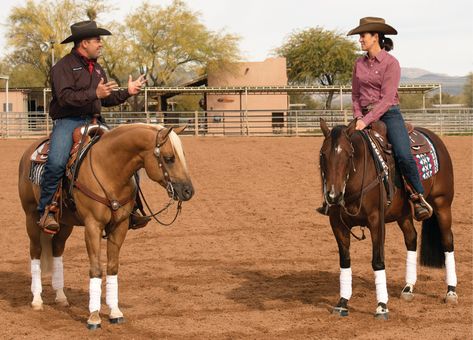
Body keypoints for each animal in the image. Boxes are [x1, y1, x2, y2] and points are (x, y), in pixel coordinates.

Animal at [17, 123, 193, 328]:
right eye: (169, 158)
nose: (188, 191)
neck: (109, 170)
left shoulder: (119, 226)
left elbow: (112, 267)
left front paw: (115, 311)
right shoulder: (93, 226)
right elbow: (96, 269)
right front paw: (94, 316)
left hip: (65, 223)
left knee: (57, 250)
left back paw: (61, 297)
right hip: (31, 217)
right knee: (35, 252)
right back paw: (37, 300)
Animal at [318, 117, 456, 318]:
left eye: (349, 155)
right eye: (323, 154)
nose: (333, 196)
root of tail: (433, 136)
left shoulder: (376, 221)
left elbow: (377, 261)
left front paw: (382, 306)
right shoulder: (337, 224)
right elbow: (345, 261)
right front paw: (342, 303)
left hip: (442, 205)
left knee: (447, 241)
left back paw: (451, 291)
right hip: (403, 215)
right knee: (411, 239)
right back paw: (408, 288)